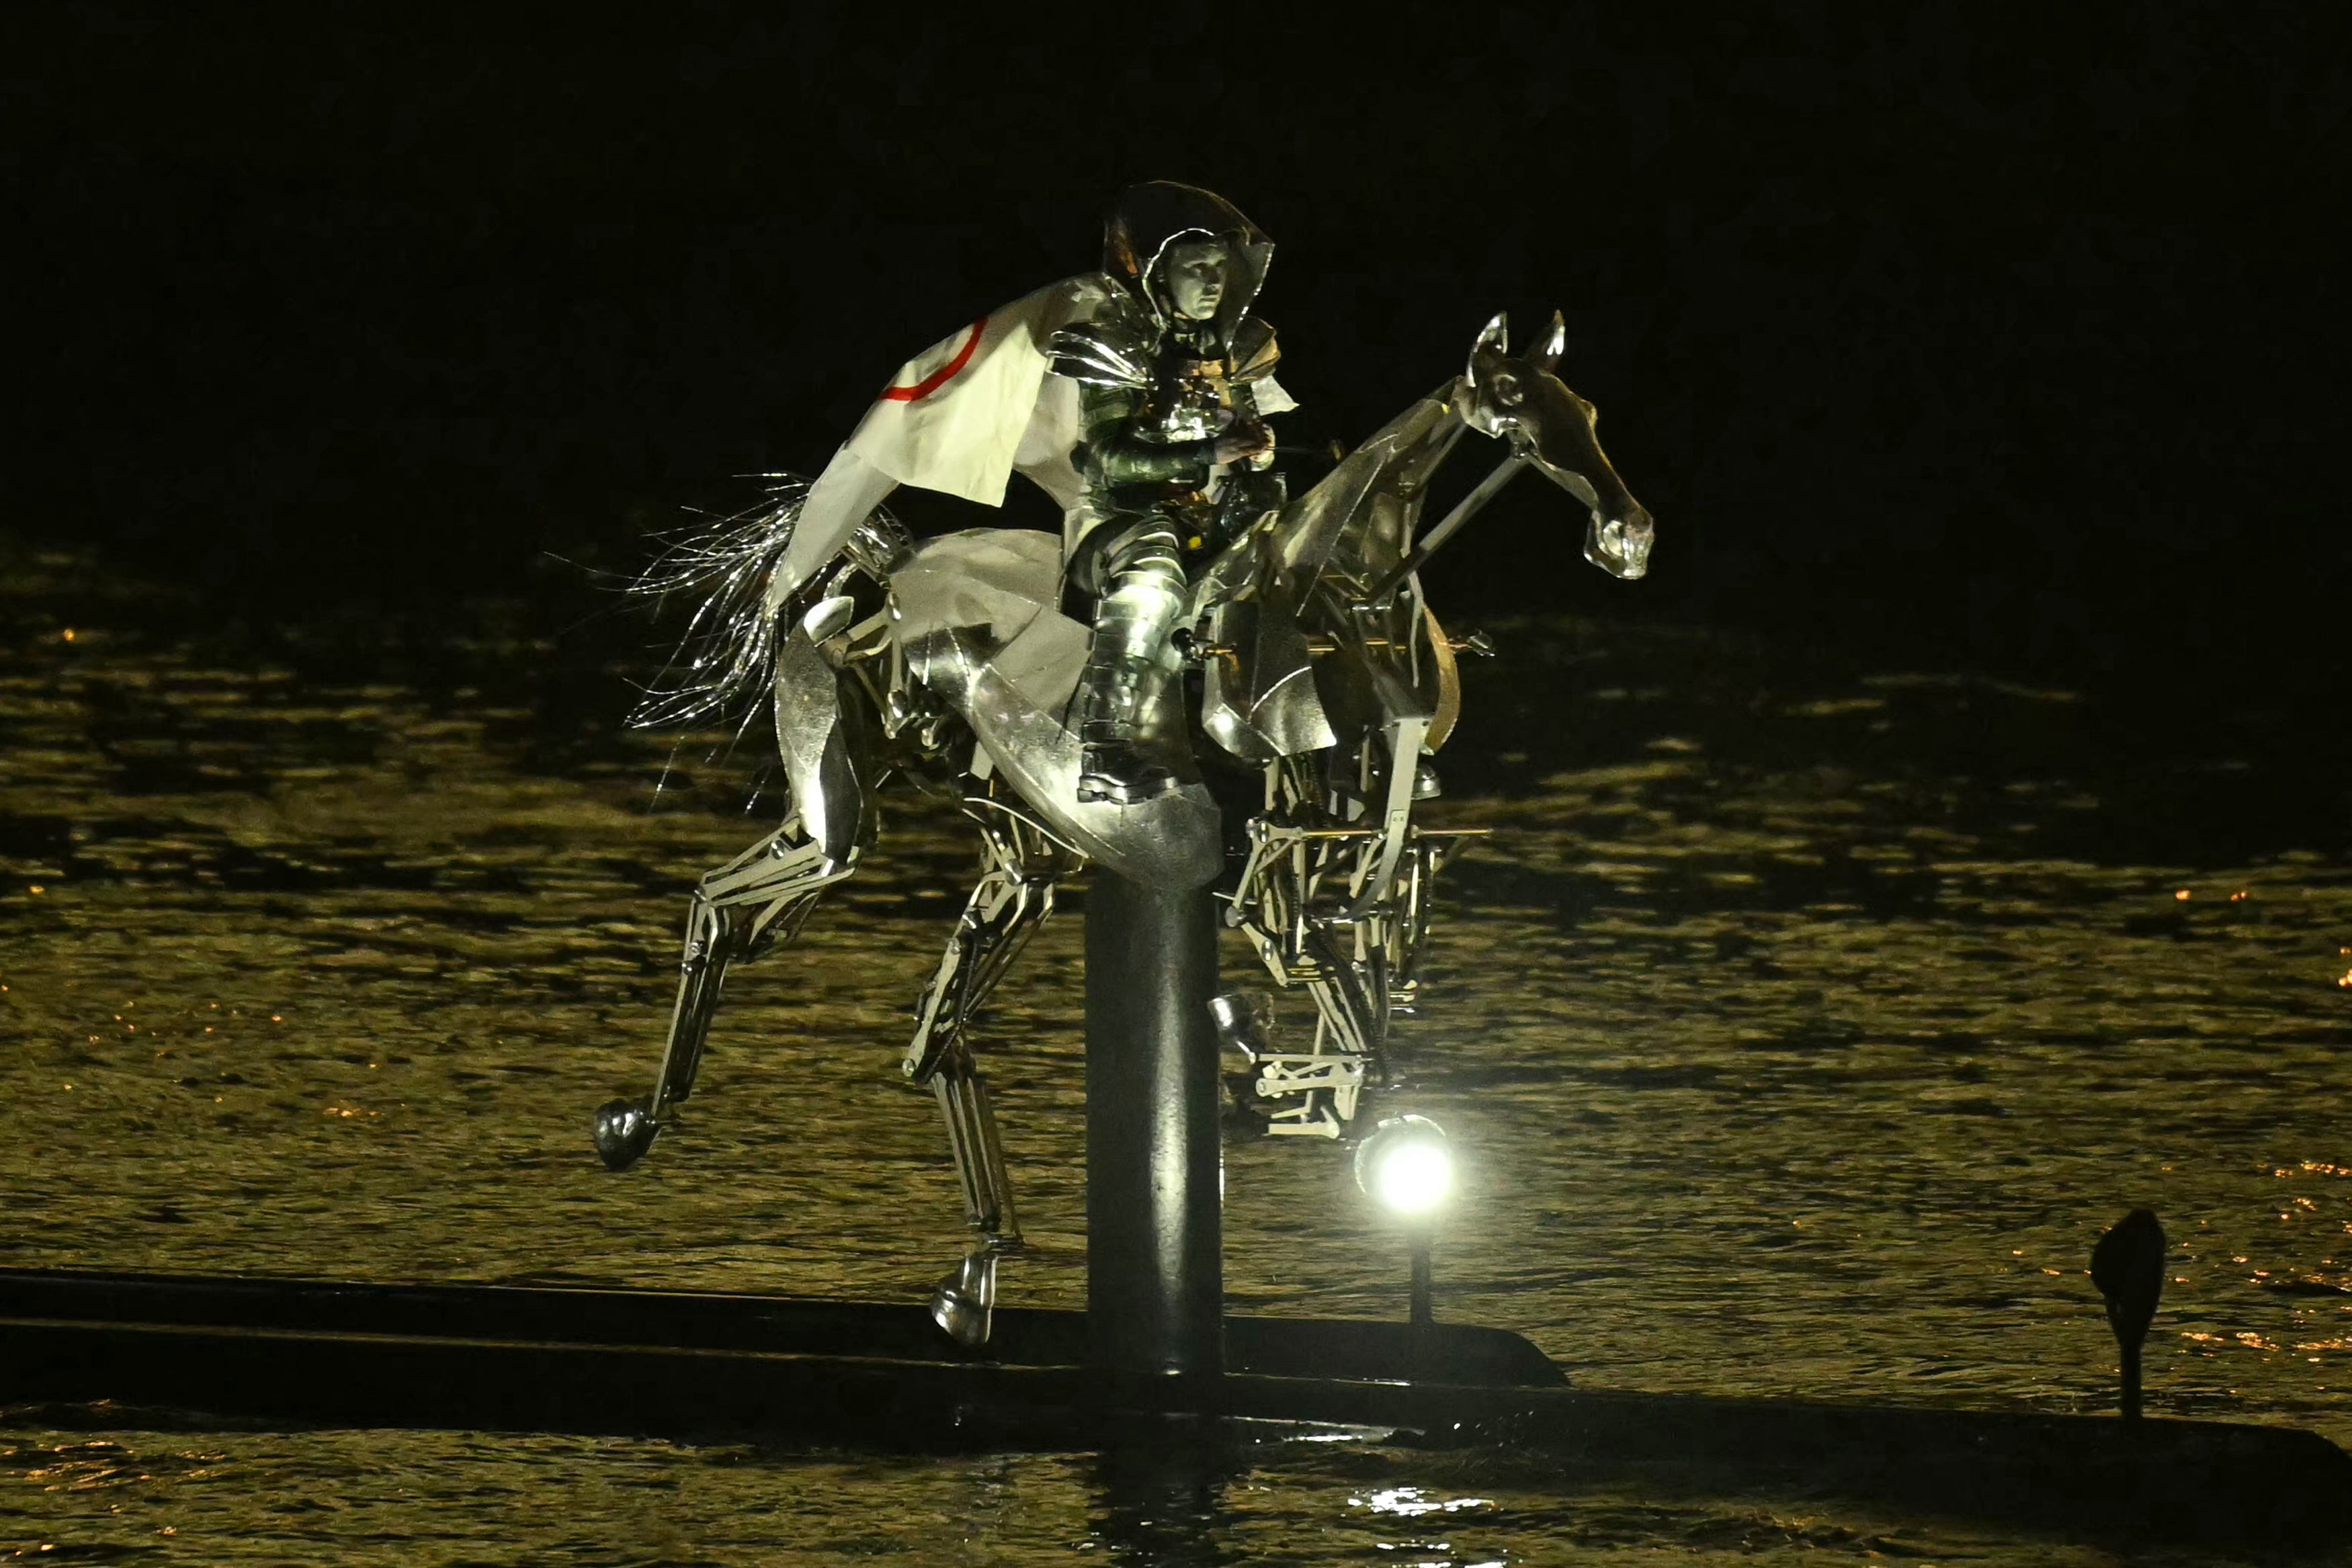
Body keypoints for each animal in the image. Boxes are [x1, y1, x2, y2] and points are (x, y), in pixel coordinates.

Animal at [588, 312, 1656, 1344]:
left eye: (1589, 406)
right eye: (1510, 393)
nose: (1627, 536)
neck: (1344, 599)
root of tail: (890, 563)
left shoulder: (1347, 830)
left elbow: (1364, 955)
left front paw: (1326, 1095)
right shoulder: (1277, 842)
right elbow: (1316, 955)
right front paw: (1329, 1098)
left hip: (1014, 856)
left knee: (935, 1032)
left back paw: (976, 1269)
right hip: (841, 812)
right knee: (726, 907)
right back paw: (642, 1119)